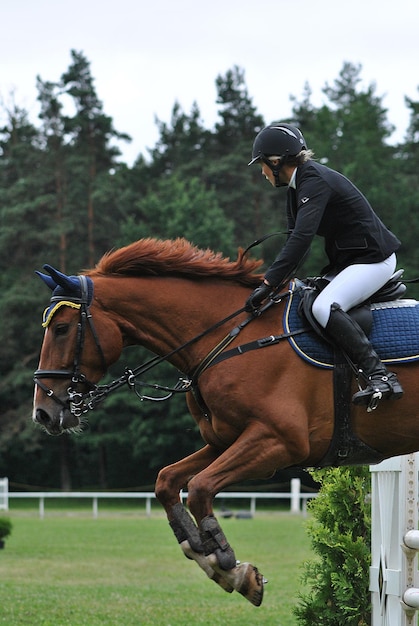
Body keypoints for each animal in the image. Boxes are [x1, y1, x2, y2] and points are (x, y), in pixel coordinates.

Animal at [32, 235, 419, 604]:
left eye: (62, 328)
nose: (43, 412)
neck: (230, 337)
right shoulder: (225, 440)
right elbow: (167, 481)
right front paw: (202, 551)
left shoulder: (278, 442)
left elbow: (201, 487)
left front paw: (228, 565)